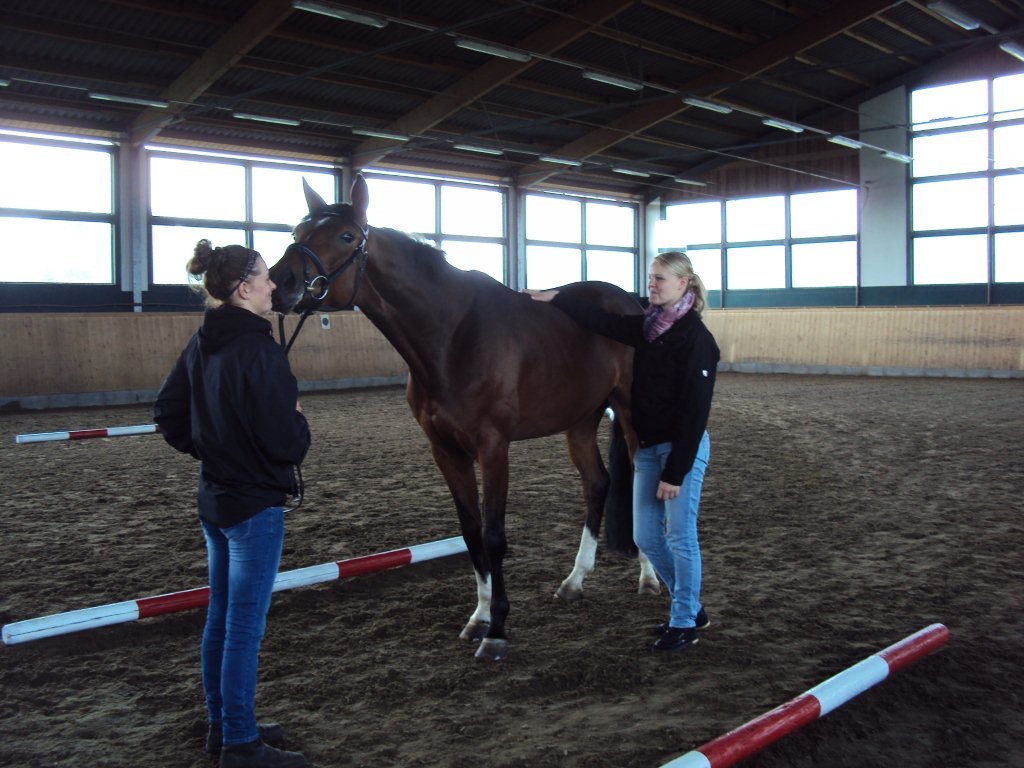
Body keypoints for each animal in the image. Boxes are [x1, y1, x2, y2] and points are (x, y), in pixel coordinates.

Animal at [269, 174, 658, 660]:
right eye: (299, 230)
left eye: (345, 236)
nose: (279, 281)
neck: (452, 335)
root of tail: (631, 303)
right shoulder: (445, 450)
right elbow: (471, 532)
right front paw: (480, 617)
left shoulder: (493, 447)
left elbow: (493, 536)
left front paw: (498, 631)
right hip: (581, 421)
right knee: (598, 484)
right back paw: (574, 581)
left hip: (629, 413)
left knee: (643, 482)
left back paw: (650, 577)